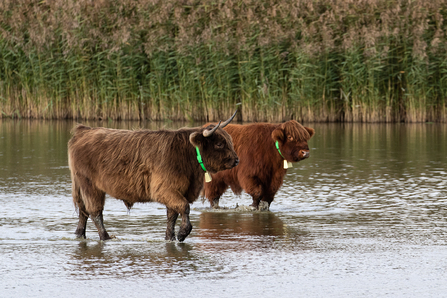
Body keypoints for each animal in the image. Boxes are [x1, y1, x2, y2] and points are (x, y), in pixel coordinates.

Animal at [68, 112, 240, 242]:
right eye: (219, 144)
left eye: (230, 140)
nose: (237, 160)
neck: (187, 156)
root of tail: (84, 130)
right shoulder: (164, 189)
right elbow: (184, 207)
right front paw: (182, 233)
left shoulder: (177, 191)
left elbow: (172, 215)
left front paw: (170, 237)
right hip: (90, 185)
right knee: (95, 211)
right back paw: (105, 237)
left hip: (81, 184)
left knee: (83, 211)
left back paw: (79, 234)